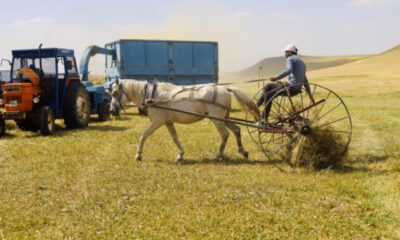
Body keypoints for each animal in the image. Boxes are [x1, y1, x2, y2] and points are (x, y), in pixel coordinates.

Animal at [109, 79, 260, 162]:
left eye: (115, 93)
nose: (112, 111)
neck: (151, 95)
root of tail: (224, 88)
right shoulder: (168, 122)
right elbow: (175, 138)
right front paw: (180, 155)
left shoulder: (157, 122)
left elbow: (143, 136)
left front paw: (138, 155)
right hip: (224, 117)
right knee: (236, 130)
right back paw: (243, 151)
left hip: (217, 119)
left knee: (225, 134)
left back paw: (218, 155)